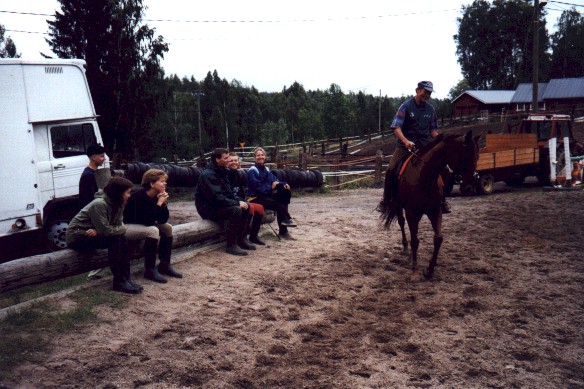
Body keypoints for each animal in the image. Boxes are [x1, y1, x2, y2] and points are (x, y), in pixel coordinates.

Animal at [380, 131, 482, 278]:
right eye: (465, 155)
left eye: (477, 155)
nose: (470, 186)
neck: (424, 177)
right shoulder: (412, 213)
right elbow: (415, 240)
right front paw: (415, 270)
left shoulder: (435, 211)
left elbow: (438, 238)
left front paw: (429, 270)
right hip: (398, 206)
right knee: (402, 223)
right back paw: (406, 248)